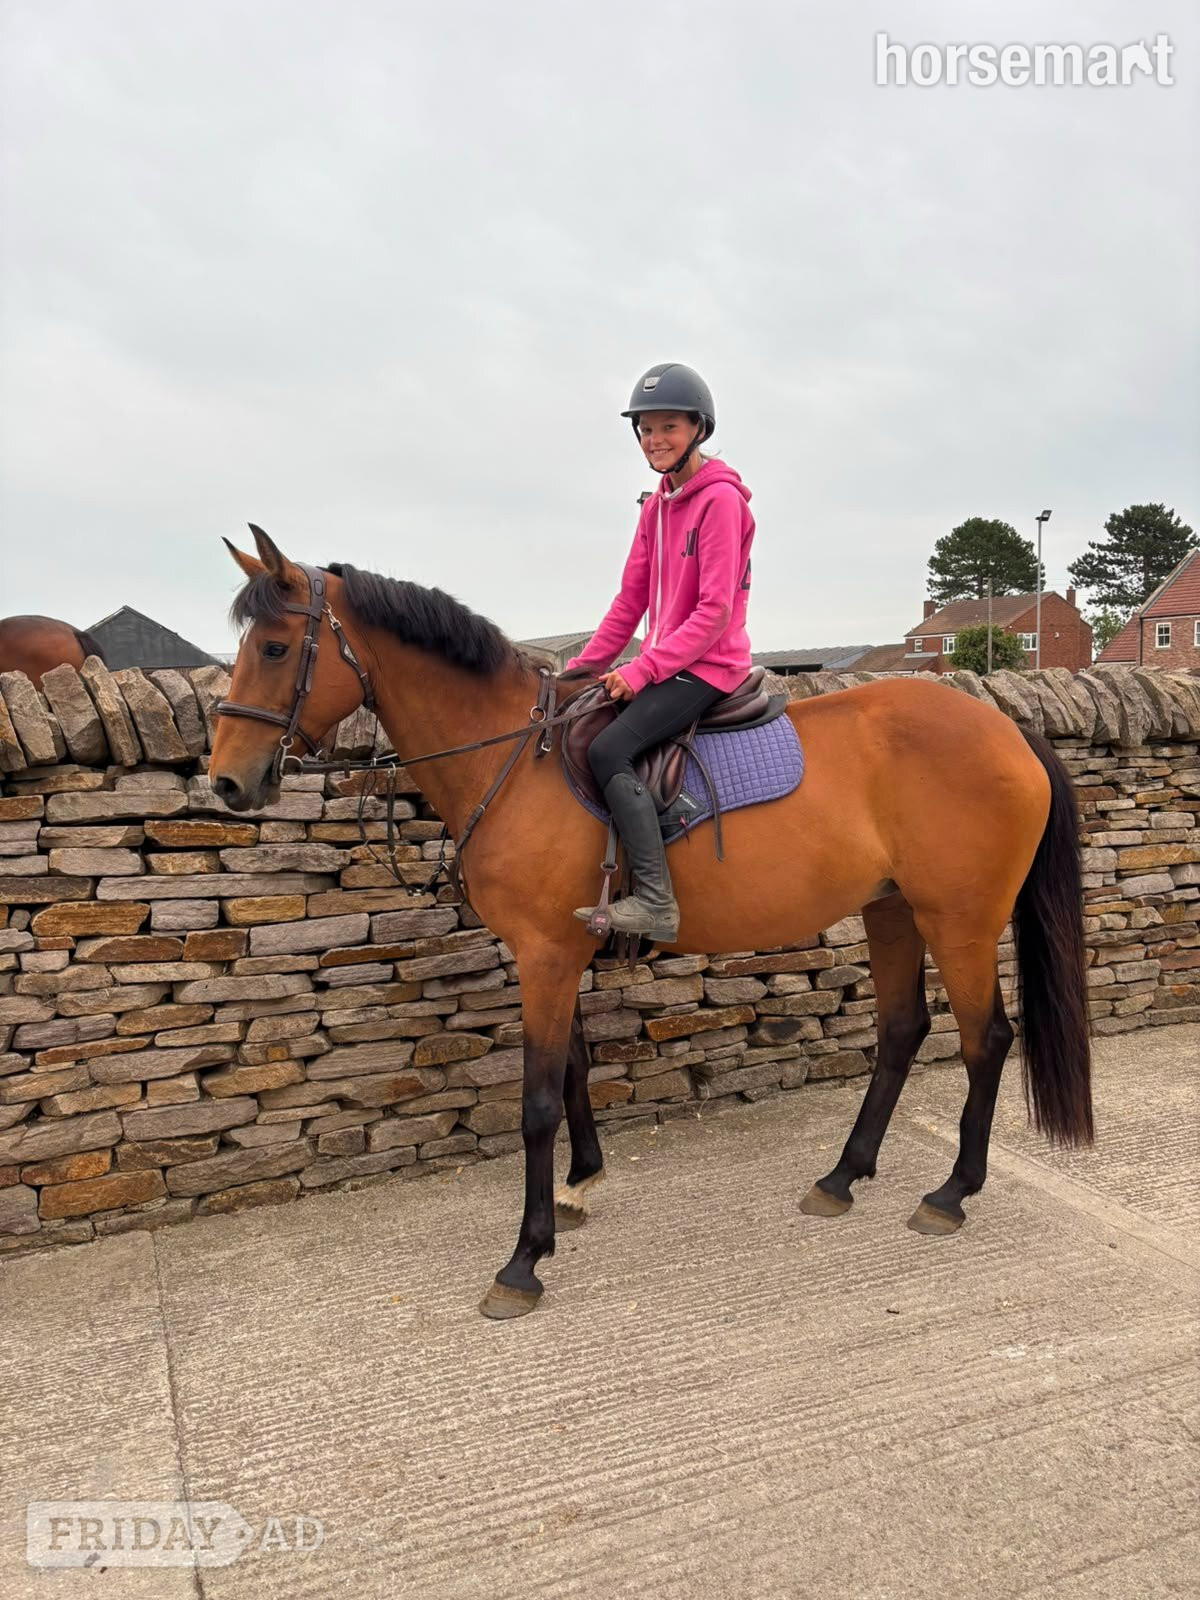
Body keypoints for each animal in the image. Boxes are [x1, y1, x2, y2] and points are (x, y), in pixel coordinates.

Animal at [209, 526, 1093, 1321]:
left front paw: (524, 1259)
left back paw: (951, 1192)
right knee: (903, 1031)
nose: (226, 783)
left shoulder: (547, 955)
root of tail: (1009, 729)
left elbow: (536, 1099)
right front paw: (579, 1185)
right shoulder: (552, 953)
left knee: (986, 1041)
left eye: (278, 648)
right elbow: (571, 1068)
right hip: (893, 909)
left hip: (961, 919)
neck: (517, 761)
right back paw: (843, 1175)